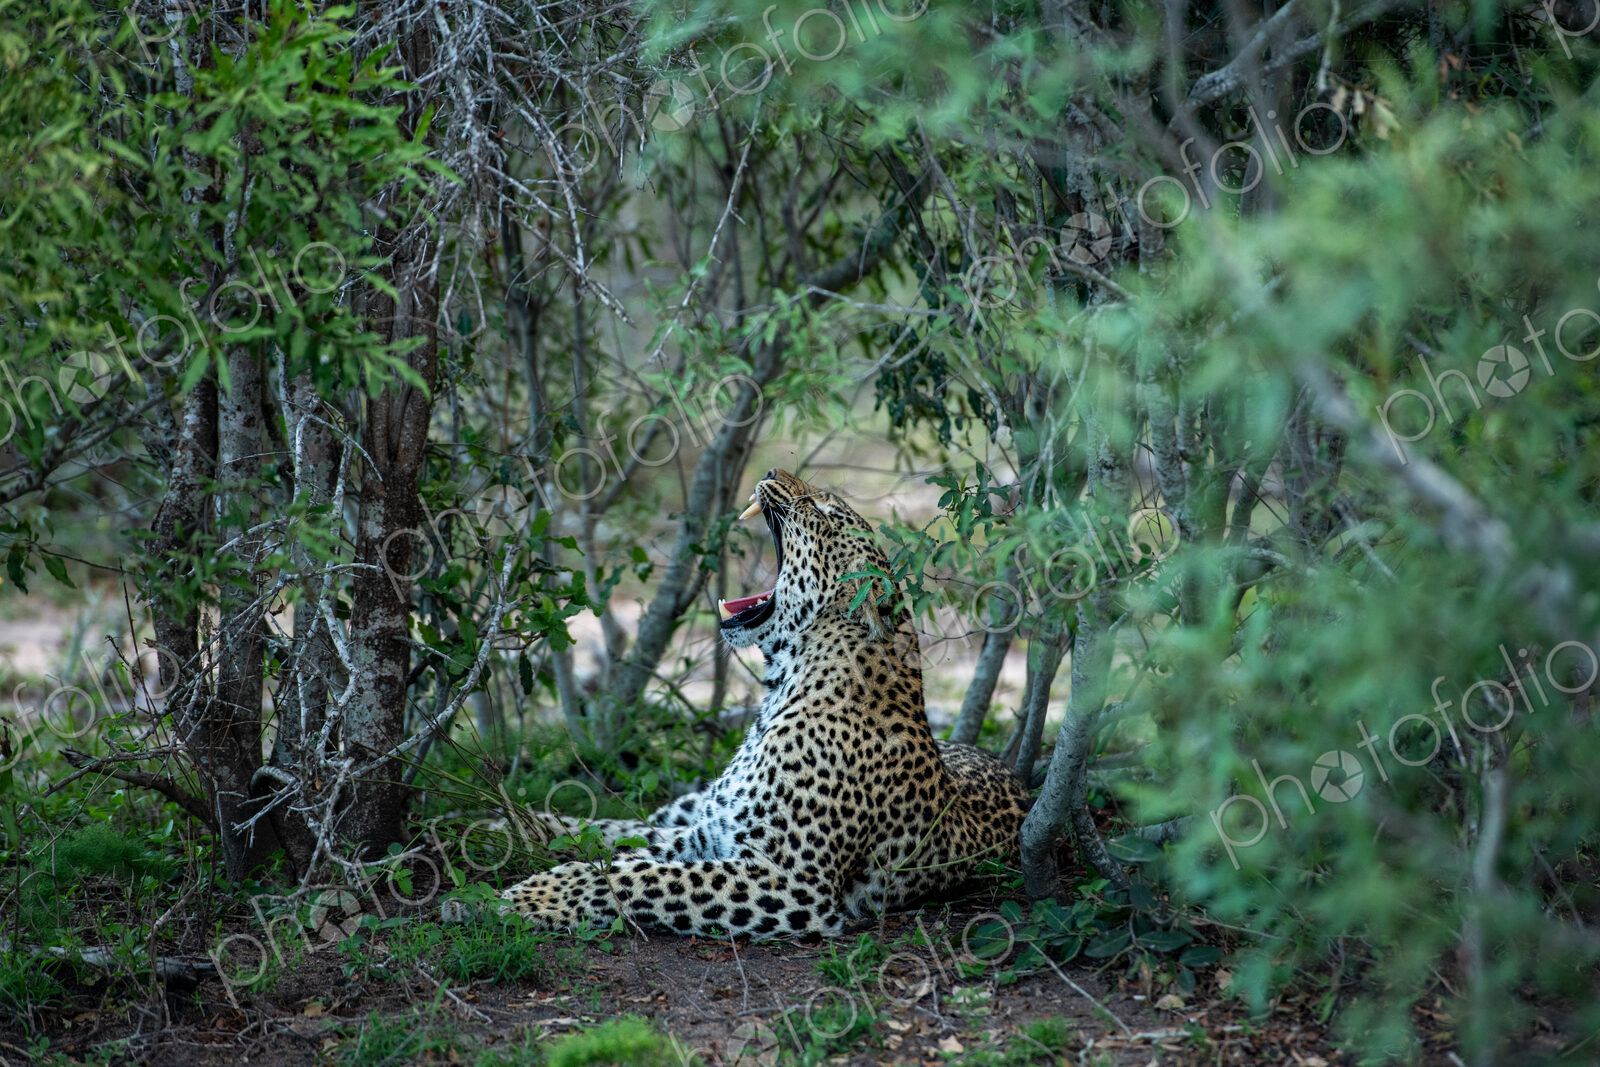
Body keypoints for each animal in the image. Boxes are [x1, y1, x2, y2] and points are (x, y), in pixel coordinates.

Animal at [501, 468, 1031, 938]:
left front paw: (533, 897)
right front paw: (536, 853)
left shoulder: (790, 879)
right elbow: (618, 845)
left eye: (825, 513)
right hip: (696, 805)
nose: (774, 471)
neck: (784, 683)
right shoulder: (710, 833)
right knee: (638, 820)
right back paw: (515, 821)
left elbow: (637, 874)